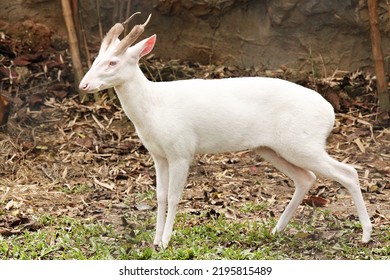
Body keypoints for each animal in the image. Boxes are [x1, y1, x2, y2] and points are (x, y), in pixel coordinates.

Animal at [78, 13, 372, 249]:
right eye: (96, 59)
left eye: (113, 62)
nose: (84, 85)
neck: (154, 105)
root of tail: (330, 112)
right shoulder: (158, 155)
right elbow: (160, 197)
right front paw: (155, 240)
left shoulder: (181, 152)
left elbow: (174, 196)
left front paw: (166, 242)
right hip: (272, 149)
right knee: (306, 178)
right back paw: (275, 230)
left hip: (304, 145)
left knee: (348, 172)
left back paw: (366, 236)